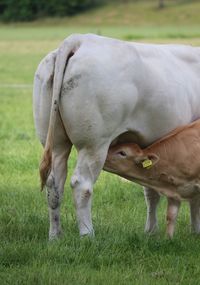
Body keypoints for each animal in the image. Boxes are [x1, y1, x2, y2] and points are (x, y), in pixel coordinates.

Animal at [33, 33, 200, 239]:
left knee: (54, 184)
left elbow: (151, 190)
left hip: (56, 142)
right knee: (82, 185)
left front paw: (151, 231)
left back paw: (55, 236)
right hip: (94, 144)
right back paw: (87, 235)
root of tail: (80, 39)